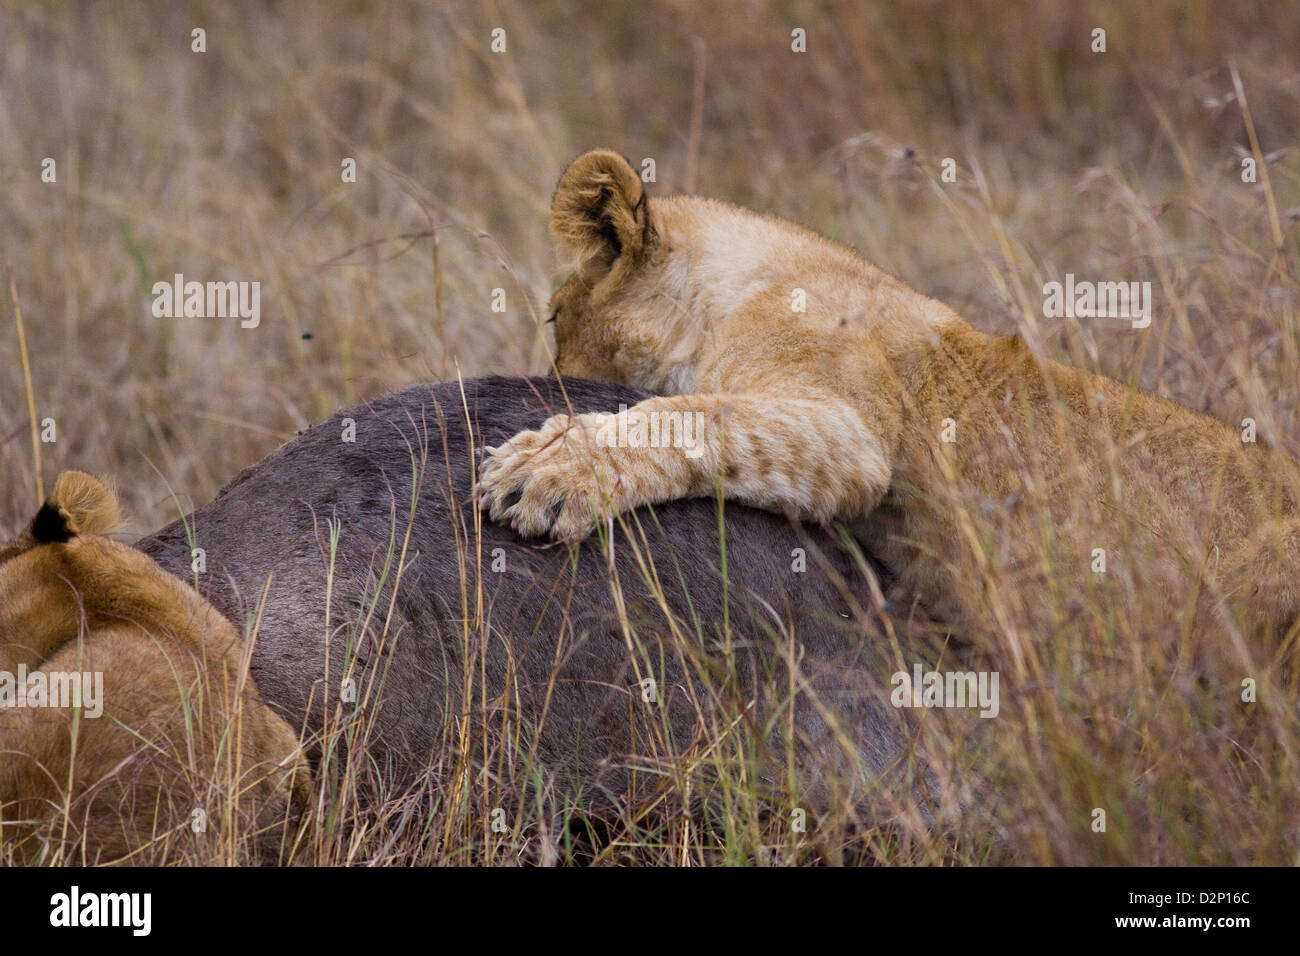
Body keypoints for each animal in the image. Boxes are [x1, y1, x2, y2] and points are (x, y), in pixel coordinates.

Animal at [479, 149, 1300, 643]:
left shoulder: (851, 429)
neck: (742, 287)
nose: (541, 375)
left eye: (553, 318)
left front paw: (546, 468)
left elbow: (692, 414)